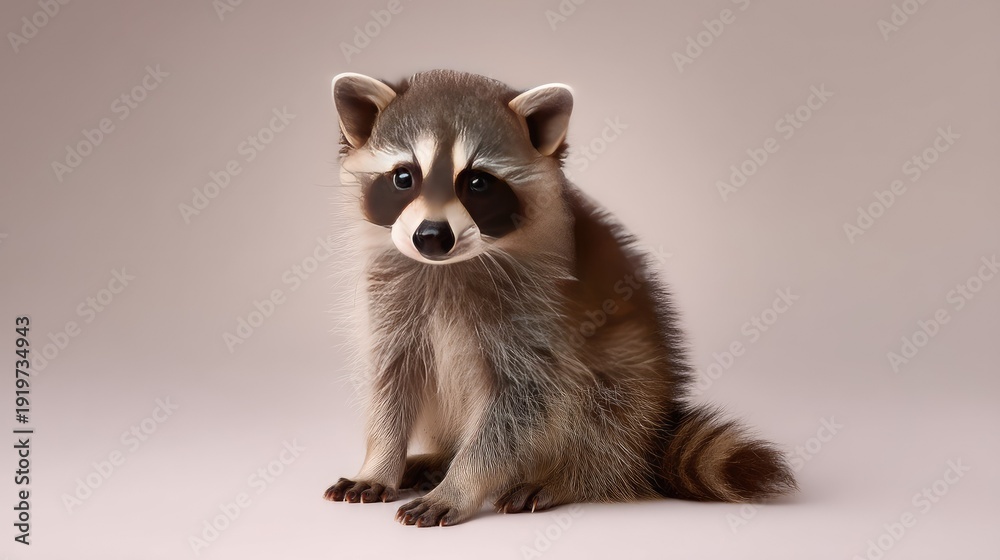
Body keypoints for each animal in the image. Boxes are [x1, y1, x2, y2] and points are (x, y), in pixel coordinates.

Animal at [323, 69, 795, 527]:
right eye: (404, 177)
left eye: (477, 183)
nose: (432, 237)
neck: (450, 265)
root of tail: (651, 439)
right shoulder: (391, 300)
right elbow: (391, 384)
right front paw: (380, 462)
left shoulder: (540, 317)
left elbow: (521, 406)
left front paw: (462, 483)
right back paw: (441, 456)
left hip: (631, 381)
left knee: (602, 416)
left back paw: (568, 476)